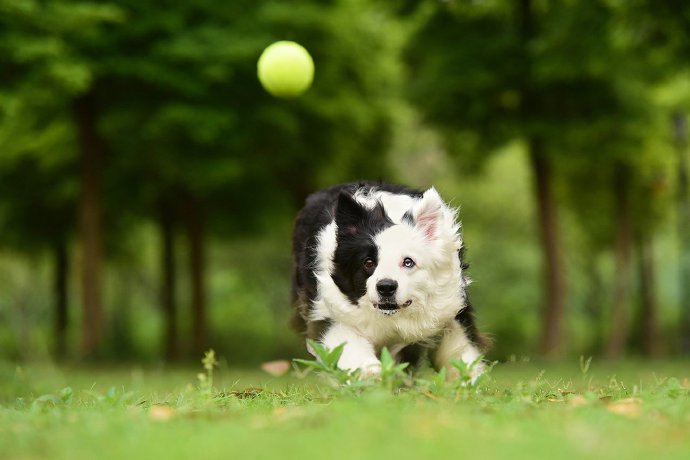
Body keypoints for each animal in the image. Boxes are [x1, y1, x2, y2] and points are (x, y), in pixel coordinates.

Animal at [290, 181, 484, 380]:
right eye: (368, 262)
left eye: (408, 262)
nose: (385, 287)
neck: (392, 317)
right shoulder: (329, 308)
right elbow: (347, 342)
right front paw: (370, 374)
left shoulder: (449, 304)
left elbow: (457, 346)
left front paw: (469, 378)